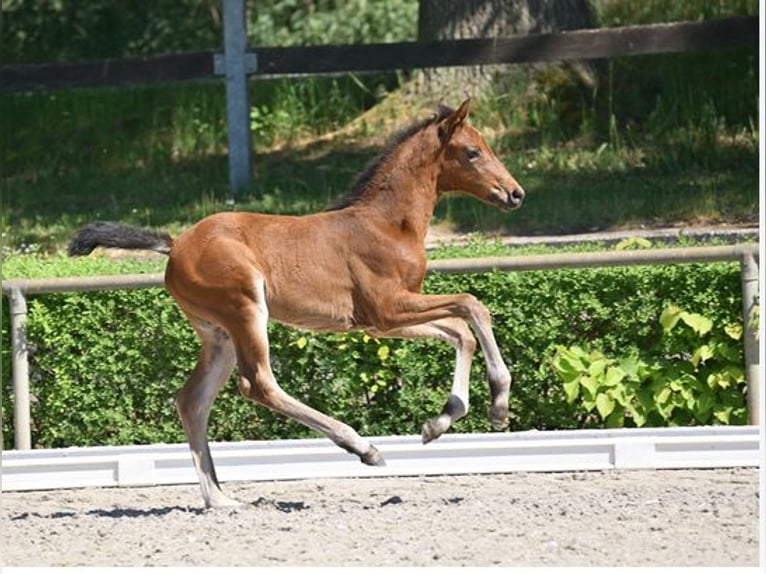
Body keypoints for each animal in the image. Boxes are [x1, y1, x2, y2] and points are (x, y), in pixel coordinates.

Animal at [68, 98, 525, 508]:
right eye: (472, 151)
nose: (515, 194)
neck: (385, 224)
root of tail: (175, 243)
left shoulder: (382, 320)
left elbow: (462, 331)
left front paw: (445, 421)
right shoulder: (386, 307)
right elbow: (471, 305)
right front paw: (496, 403)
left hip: (219, 335)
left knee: (192, 400)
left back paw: (219, 499)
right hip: (246, 309)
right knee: (258, 383)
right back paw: (362, 447)